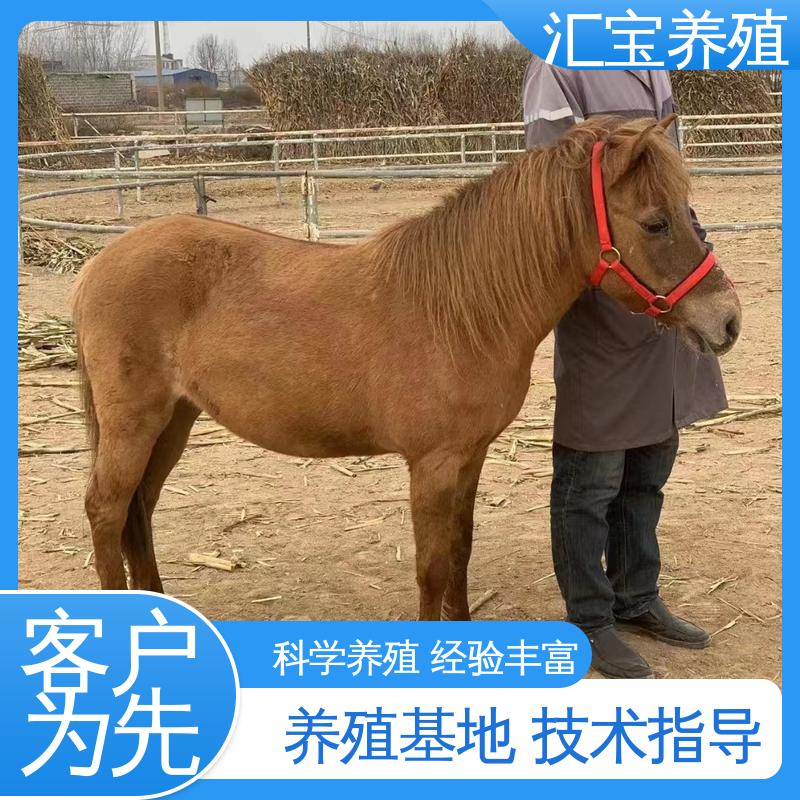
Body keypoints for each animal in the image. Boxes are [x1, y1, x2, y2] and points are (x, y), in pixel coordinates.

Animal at [71, 115, 741, 620]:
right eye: (656, 222)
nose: (728, 320)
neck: (463, 307)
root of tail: (98, 264)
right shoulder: (433, 463)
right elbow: (431, 568)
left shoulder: (470, 456)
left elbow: (462, 552)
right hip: (135, 422)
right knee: (107, 510)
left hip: (174, 421)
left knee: (138, 511)